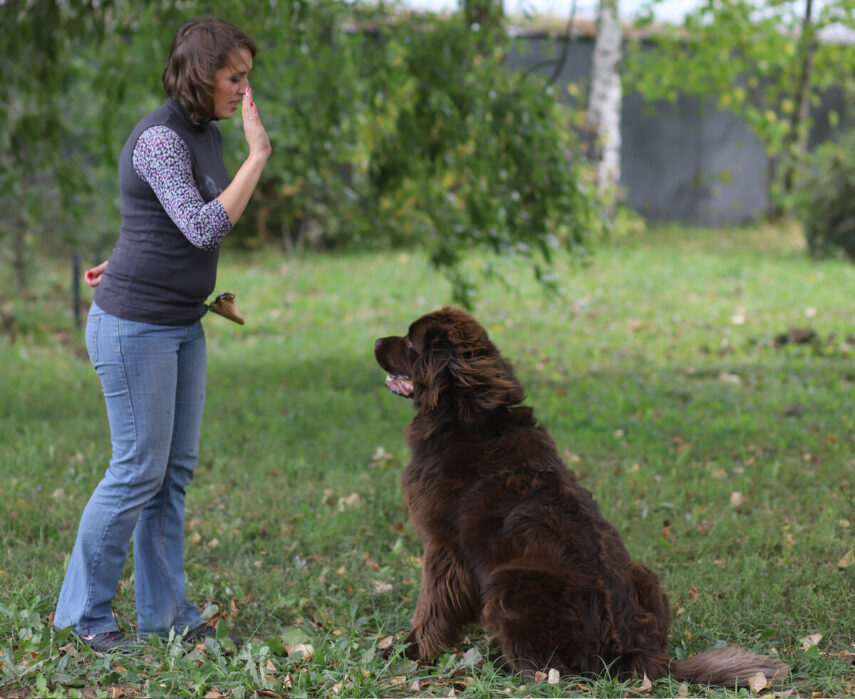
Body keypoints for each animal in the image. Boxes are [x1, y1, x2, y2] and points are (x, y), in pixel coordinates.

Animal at [374, 308, 788, 688]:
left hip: (508, 583)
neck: (465, 416)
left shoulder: (442, 547)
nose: (376, 341)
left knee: (546, 669)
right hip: (645, 575)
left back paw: (495, 662)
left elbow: (430, 609)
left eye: (409, 342)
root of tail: (640, 654)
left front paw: (409, 651)